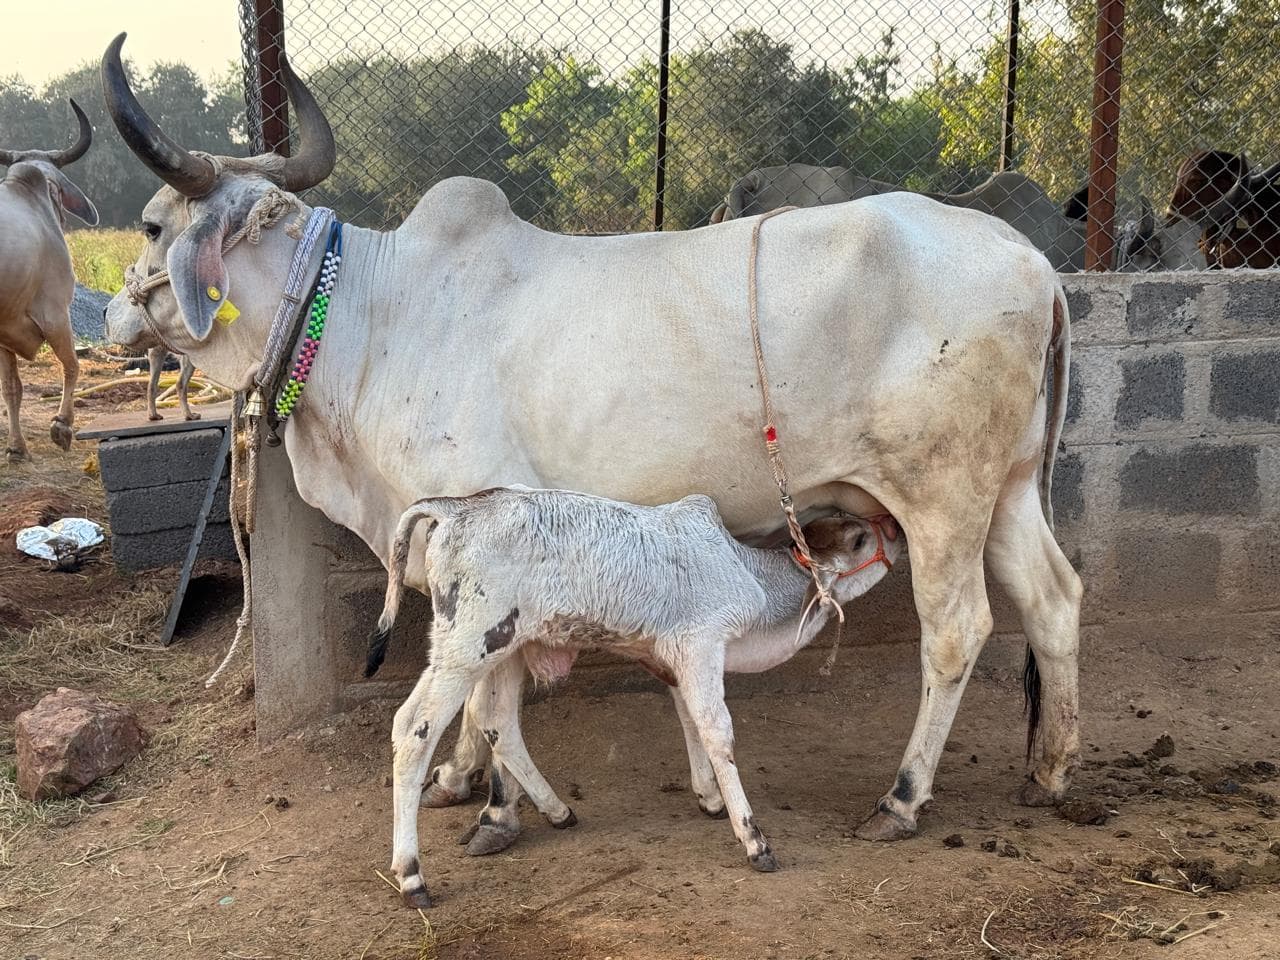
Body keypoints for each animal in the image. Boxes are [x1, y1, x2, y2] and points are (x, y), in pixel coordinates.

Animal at [0, 100, 97, 461]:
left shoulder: (5, 333)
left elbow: (12, 389)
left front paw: (16, 448)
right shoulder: (55, 314)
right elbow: (71, 365)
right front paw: (63, 425)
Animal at [368, 489, 900, 898]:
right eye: (858, 539)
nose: (893, 525)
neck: (748, 575)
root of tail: (454, 507)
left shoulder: (678, 660)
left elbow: (689, 720)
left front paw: (709, 798)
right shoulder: (701, 645)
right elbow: (718, 733)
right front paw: (753, 838)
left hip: (501, 647)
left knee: (498, 722)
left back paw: (557, 810)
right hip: (467, 646)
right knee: (414, 728)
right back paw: (412, 876)